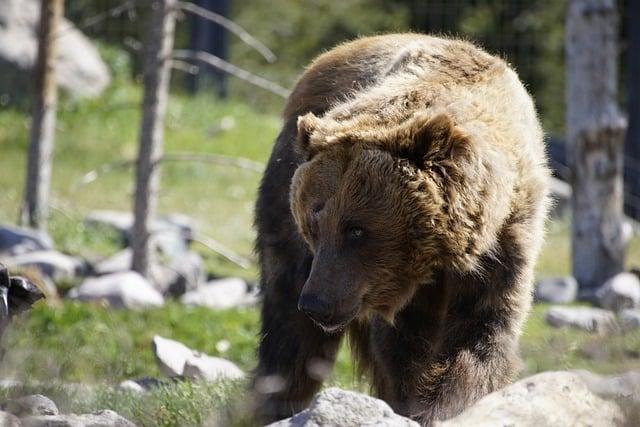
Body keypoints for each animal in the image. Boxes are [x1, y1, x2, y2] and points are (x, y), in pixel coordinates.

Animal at [252, 34, 552, 427]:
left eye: (356, 230)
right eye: (314, 224)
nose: (316, 303)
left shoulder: (504, 245)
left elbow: (479, 334)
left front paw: (446, 406)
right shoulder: (387, 282)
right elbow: (403, 350)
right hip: (282, 191)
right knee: (287, 324)